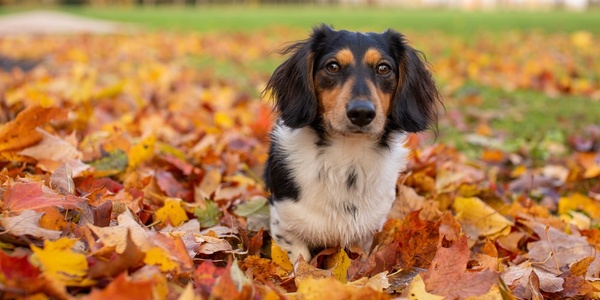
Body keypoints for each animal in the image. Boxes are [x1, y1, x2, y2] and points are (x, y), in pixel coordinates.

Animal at [264, 24, 438, 262]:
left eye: (383, 68)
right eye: (333, 66)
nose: (362, 113)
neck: (348, 159)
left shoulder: (367, 231)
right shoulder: (286, 225)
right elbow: (298, 261)